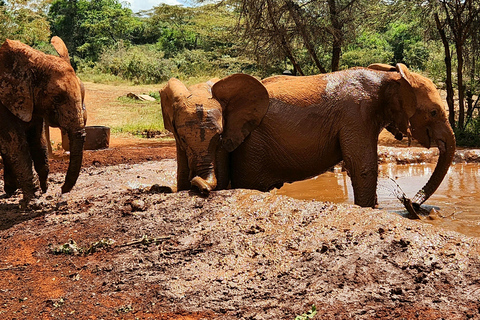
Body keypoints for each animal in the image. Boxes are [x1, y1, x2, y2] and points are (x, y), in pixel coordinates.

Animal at [0, 37, 86, 208]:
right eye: (57, 98)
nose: (61, 191)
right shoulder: (2, 104)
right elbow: (16, 146)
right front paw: (33, 202)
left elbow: (38, 142)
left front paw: (44, 190)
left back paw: (11, 190)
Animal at [161, 64, 454, 210]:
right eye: (434, 112)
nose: (410, 203)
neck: (386, 76)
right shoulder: (356, 114)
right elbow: (363, 167)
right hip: (251, 148)